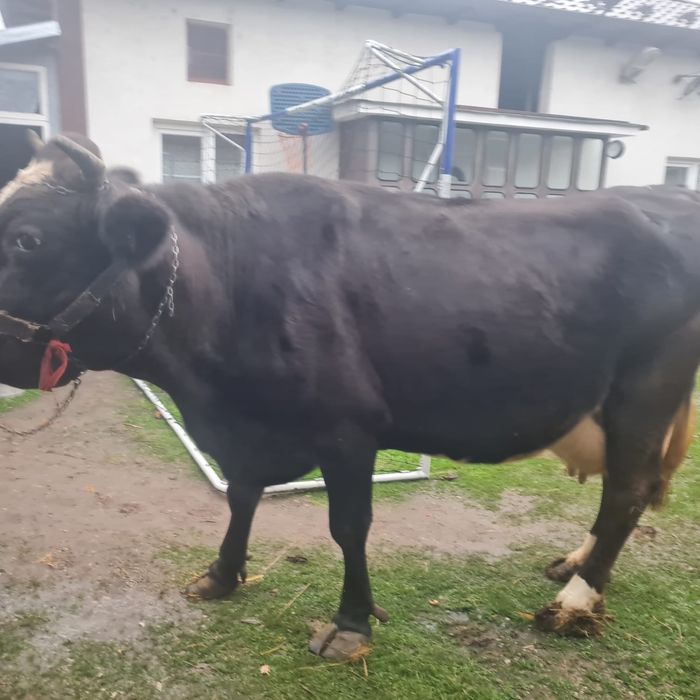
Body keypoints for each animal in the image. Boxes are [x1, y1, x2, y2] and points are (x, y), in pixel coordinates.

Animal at [0, 132, 699, 659]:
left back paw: (575, 600)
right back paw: (576, 564)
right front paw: (222, 575)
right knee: (620, 491)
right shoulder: (249, 432)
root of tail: (666, 194)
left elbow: (348, 527)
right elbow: (244, 497)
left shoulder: (346, 429)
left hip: (645, 393)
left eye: (28, 239)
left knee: (628, 491)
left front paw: (352, 624)